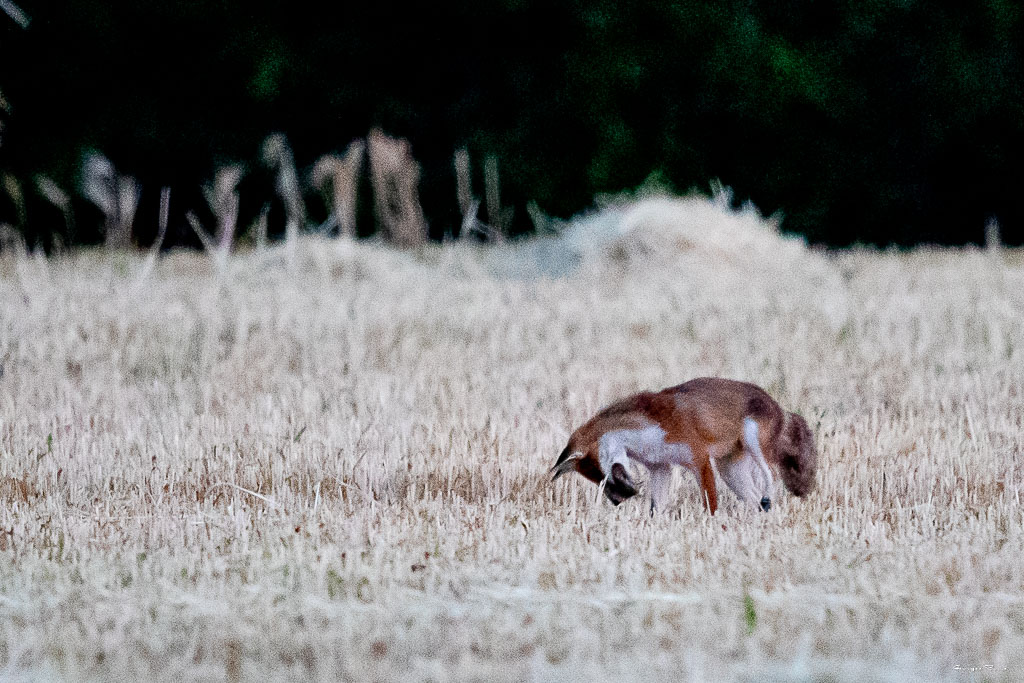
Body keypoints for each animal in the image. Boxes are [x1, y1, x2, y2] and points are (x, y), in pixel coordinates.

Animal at [551, 377, 816, 514]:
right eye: (596, 481)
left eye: (603, 476)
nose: (618, 501)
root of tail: (779, 405)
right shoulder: (661, 467)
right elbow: (656, 508)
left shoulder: (699, 459)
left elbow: (710, 503)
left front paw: (711, 525)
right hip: (730, 472)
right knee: (753, 498)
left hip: (753, 444)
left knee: (772, 475)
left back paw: (768, 500)